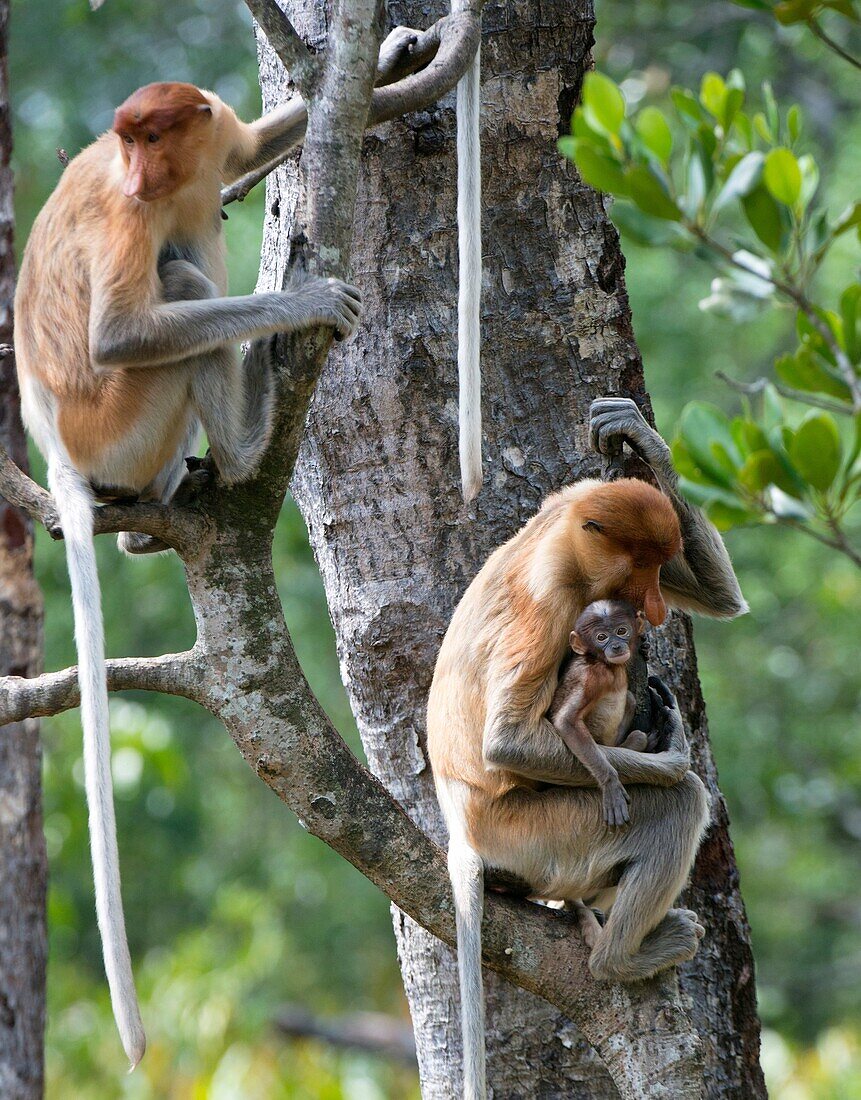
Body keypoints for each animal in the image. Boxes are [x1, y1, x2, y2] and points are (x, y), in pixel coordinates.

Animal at [14, 79, 362, 1064]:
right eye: (128, 148)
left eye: (152, 136)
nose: (137, 173)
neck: (166, 181)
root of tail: (58, 454)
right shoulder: (125, 218)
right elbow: (122, 331)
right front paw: (301, 301)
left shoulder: (216, 143)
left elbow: (252, 144)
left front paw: (415, 60)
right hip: (122, 423)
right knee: (177, 284)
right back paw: (241, 446)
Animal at [552, 602, 646, 827]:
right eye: (601, 637)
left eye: (621, 631)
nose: (616, 646)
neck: (605, 665)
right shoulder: (592, 677)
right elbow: (566, 721)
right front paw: (610, 783)